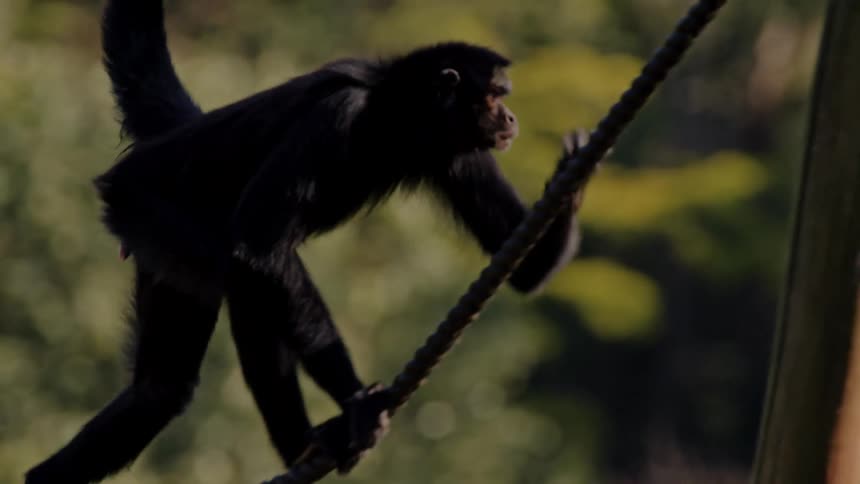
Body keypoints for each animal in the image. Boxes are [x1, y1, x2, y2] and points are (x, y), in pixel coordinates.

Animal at [25, 1, 587, 483]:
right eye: (494, 98)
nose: (510, 119)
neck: (390, 114)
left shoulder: (452, 151)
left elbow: (530, 271)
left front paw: (575, 174)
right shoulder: (338, 115)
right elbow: (257, 250)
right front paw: (358, 403)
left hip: (150, 238)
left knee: (160, 388)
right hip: (144, 206)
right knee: (244, 276)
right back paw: (307, 442)